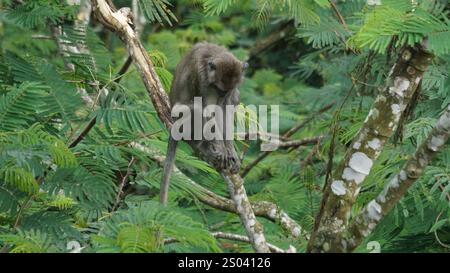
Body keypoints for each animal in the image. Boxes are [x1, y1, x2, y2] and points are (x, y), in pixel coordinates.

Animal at [160, 42, 248, 204]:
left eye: (225, 90)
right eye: (218, 88)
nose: (222, 94)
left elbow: (225, 107)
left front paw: (230, 150)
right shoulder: (200, 78)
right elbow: (206, 109)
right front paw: (222, 149)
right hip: (180, 121)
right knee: (197, 109)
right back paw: (203, 146)